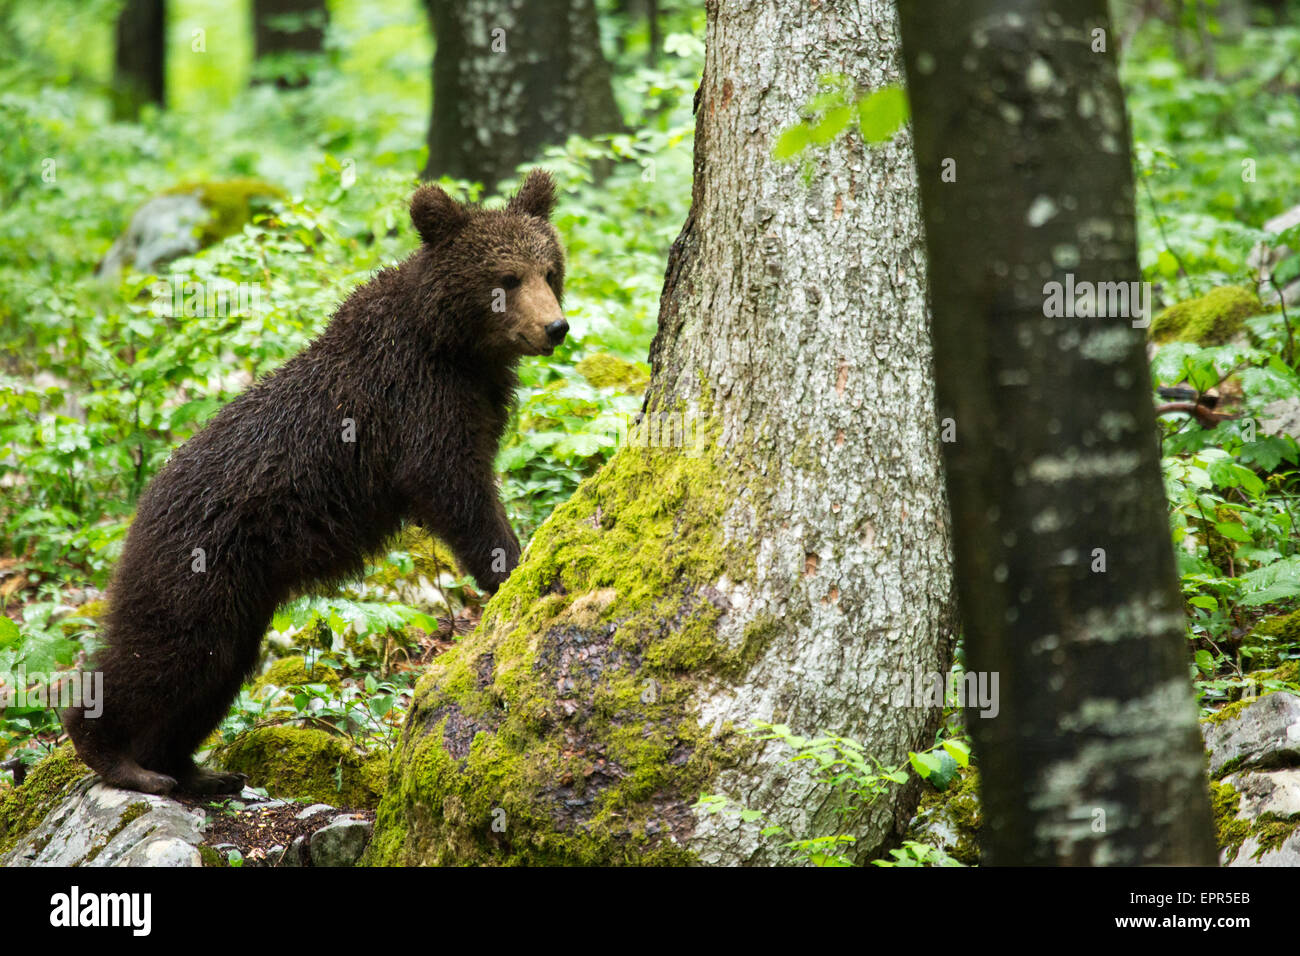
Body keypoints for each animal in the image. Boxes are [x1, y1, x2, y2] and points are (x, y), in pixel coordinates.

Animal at [61, 169, 568, 795]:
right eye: (506, 278)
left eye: (549, 270)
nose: (555, 327)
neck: (455, 348)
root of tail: (143, 503)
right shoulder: (417, 407)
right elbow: (456, 490)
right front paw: (509, 564)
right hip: (195, 568)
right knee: (164, 654)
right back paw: (119, 757)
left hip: (240, 599)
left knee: (214, 673)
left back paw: (195, 769)